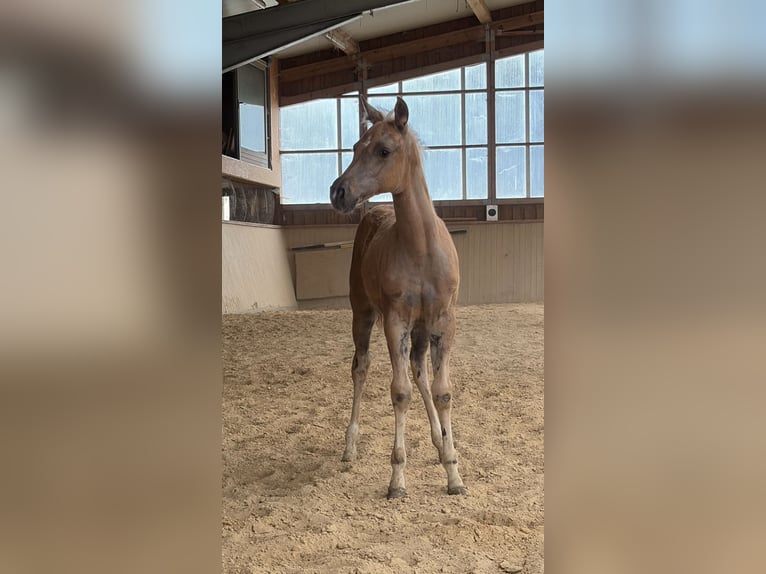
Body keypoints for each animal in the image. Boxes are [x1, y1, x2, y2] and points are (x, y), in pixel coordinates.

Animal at [329, 96, 466, 498]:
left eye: (383, 150)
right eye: (354, 147)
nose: (338, 192)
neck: (421, 249)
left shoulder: (443, 321)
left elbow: (441, 391)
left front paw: (453, 472)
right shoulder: (395, 321)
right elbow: (400, 392)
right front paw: (397, 479)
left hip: (420, 330)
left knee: (420, 371)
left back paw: (438, 440)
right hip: (362, 314)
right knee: (360, 368)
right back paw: (350, 446)